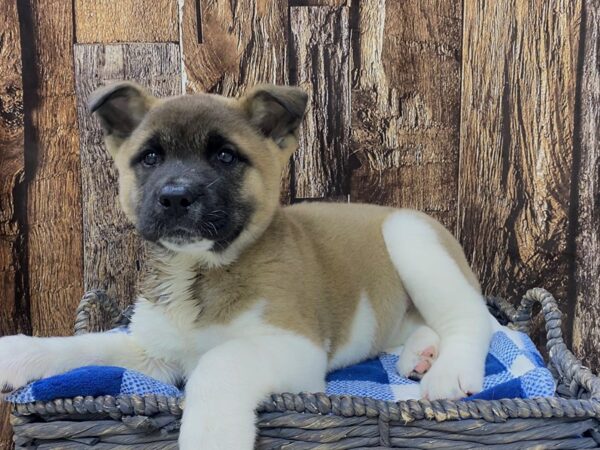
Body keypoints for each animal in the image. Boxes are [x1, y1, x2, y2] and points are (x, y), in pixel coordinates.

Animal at [0, 82, 492, 448]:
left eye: (225, 156)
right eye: (151, 157)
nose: (175, 197)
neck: (199, 272)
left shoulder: (297, 350)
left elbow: (223, 359)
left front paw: (210, 435)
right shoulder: (152, 353)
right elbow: (87, 346)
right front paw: (21, 352)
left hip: (411, 238)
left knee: (474, 319)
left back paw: (449, 373)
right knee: (422, 325)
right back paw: (421, 354)